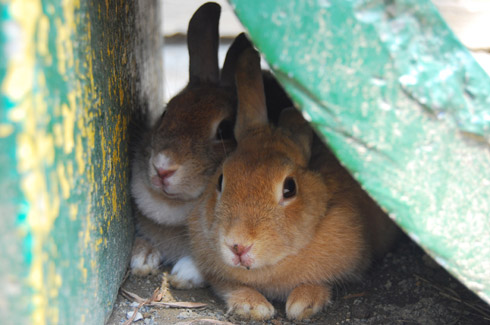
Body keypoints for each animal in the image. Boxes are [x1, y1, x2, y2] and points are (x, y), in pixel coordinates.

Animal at [186, 46, 400, 320]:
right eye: (221, 180)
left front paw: (303, 304)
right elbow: (230, 286)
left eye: (290, 188)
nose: (238, 246)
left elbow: (318, 283)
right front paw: (253, 306)